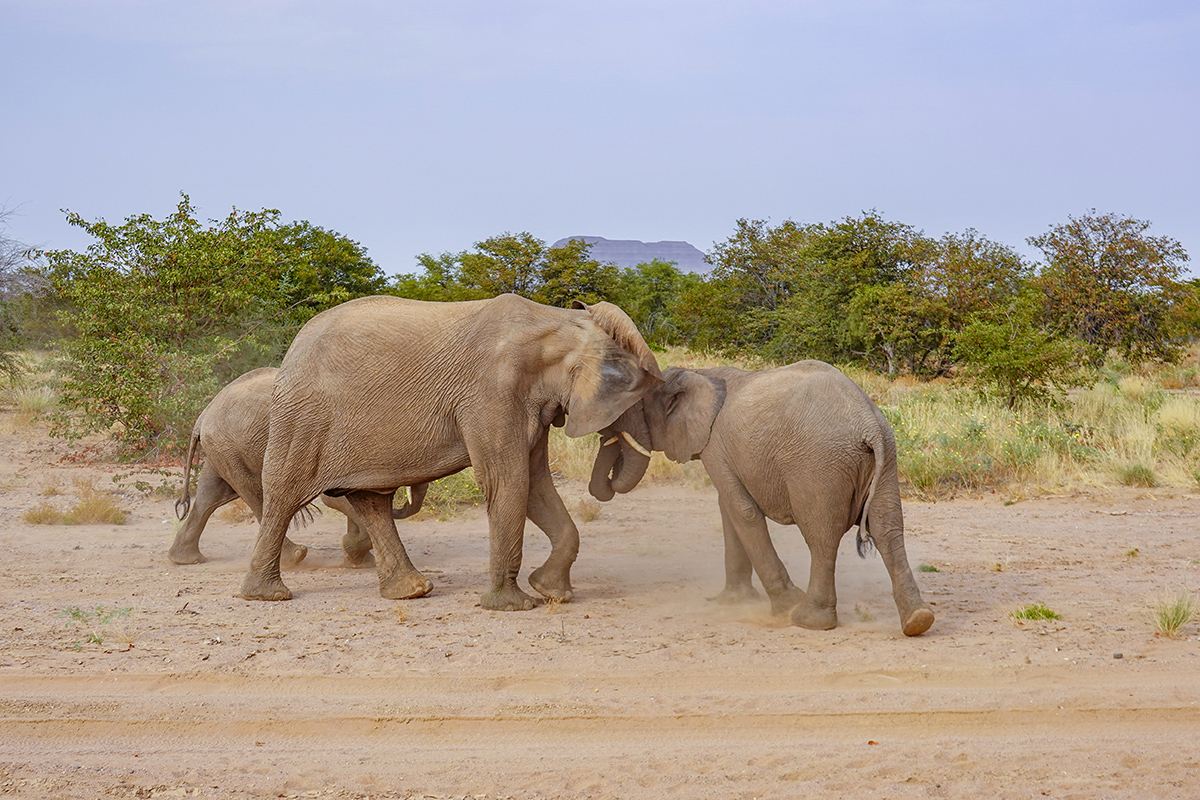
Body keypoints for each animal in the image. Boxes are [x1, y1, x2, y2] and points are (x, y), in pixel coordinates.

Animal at [169, 367, 427, 568]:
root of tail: (203, 414)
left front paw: (359, 561)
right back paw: (295, 557)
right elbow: (336, 499)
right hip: (230, 447)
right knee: (257, 496)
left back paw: (185, 559)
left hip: (223, 450)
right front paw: (354, 554)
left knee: (210, 497)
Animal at [239, 293, 660, 610]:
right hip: (303, 418)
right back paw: (268, 595)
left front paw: (553, 592)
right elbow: (508, 480)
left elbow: (535, 483)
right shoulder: (492, 393)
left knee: (371, 501)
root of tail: (293, 348)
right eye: (635, 398)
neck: (559, 319)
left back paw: (412, 591)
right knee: (284, 493)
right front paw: (513, 606)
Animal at [606, 359, 934, 637]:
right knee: (889, 530)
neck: (698, 372)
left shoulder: (715, 447)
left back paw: (807, 620)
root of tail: (868, 425)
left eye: (638, 407)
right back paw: (918, 620)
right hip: (888, 458)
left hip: (818, 466)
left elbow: (741, 510)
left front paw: (783, 606)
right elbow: (729, 508)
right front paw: (732, 601)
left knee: (822, 537)